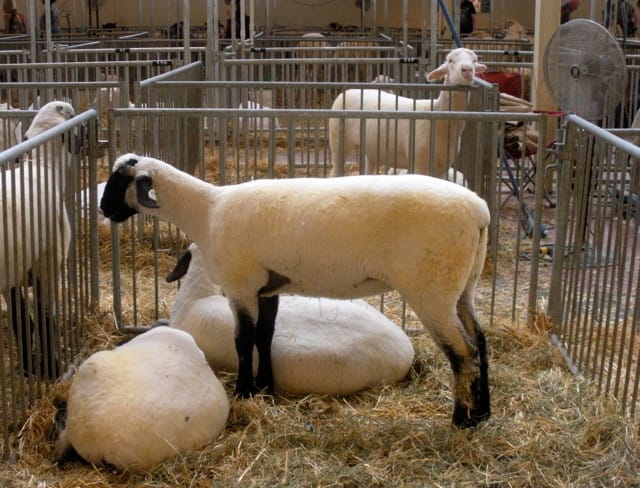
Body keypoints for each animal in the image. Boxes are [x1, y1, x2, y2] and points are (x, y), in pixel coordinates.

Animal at [0, 100, 76, 378]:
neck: (43, 167)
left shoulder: (14, 273)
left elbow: (21, 319)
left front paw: (27, 368)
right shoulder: (49, 261)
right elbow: (45, 318)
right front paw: (51, 370)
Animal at [328, 47, 487, 177]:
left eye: (474, 60)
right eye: (450, 60)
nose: (467, 70)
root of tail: (348, 91)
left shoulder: (442, 168)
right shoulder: (419, 164)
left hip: (371, 148)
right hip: (338, 141)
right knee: (335, 171)